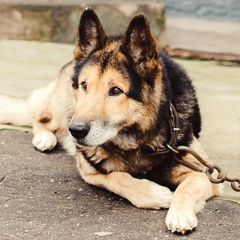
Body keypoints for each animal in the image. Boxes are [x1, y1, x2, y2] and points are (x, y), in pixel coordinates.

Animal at [0, 7, 222, 234]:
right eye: (84, 85)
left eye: (116, 91)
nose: (76, 131)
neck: (137, 143)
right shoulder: (90, 171)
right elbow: (118, 177)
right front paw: (153, 193)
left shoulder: (205, 175)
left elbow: (185, 190)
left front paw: (179, 214)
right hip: (62, 108)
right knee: (41, 119)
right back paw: (45, 138)